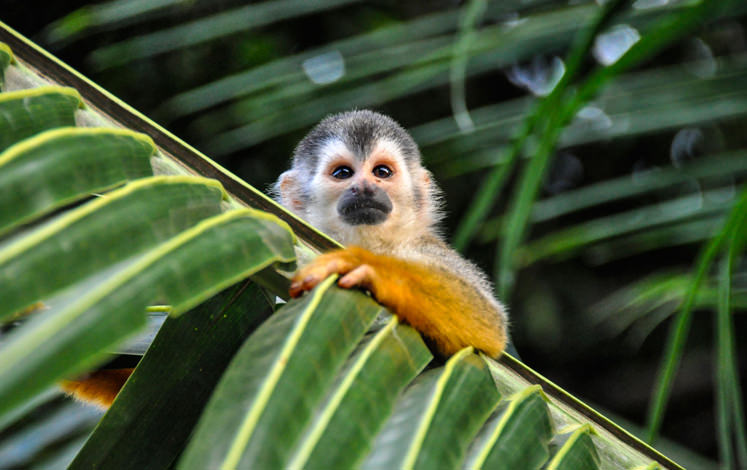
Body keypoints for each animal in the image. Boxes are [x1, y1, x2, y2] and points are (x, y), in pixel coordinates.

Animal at [274, 110, 508, 358]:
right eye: (343, 173)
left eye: (382, 172)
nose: (365, 187)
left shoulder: (425, 246)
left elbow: (489, 323)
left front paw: (366, 265)